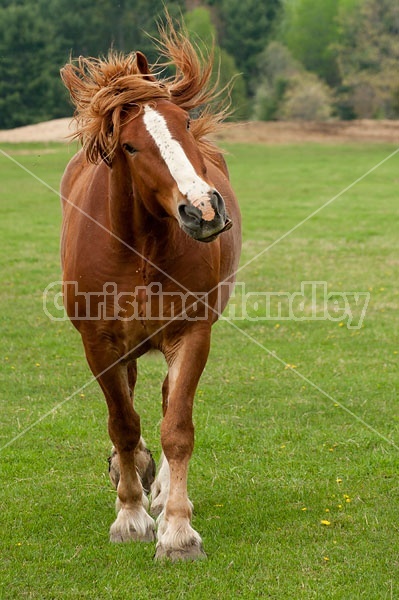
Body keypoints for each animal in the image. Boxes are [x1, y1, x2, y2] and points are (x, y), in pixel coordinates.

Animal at [59, 19, 241, 564]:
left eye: (184, 122)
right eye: (131, 146)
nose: (203, 210)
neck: (138, 249)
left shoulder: (191, 335)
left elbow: (176, 427)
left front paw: (177, 530)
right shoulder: (98, 343)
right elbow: (122, 423)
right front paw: (130, 517)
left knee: (161, 401)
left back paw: (159, 490)